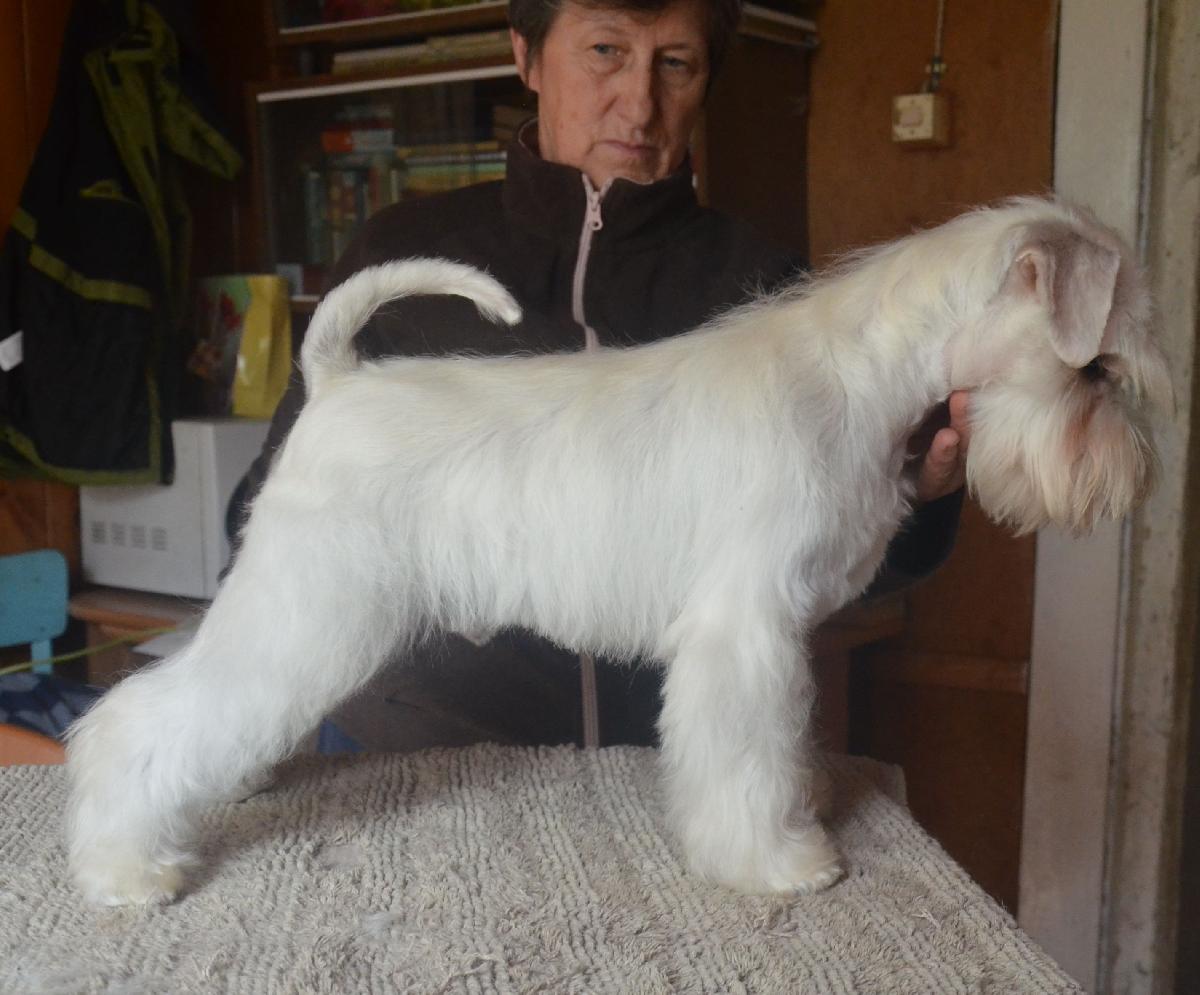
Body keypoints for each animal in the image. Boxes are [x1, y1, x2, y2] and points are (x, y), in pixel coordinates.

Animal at [65, 197, 1169, 905]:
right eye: (1096, 369)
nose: (1131, 476)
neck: (857, 376)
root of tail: (336, 379)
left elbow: (773, 746)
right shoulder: (745, 629)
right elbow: (745, 756)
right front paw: (777, 860)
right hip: (309, 610)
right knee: (140, 718)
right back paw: (127, 867)